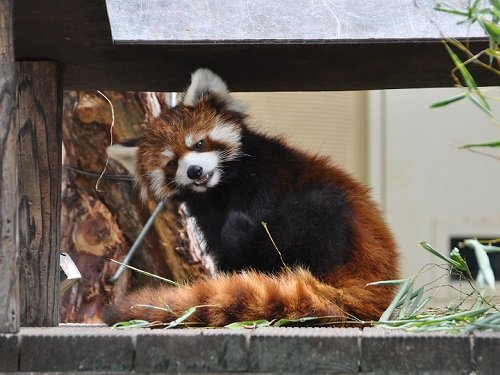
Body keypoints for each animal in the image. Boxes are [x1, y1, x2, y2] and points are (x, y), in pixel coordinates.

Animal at [104, 69, 398, 328]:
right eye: (172, 164)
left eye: (199, 144)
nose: (194, 171)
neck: (220, 190)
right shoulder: (207, 215)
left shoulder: (263, 176)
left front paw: (239, 233)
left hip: (331, 224)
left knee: (318, 207)